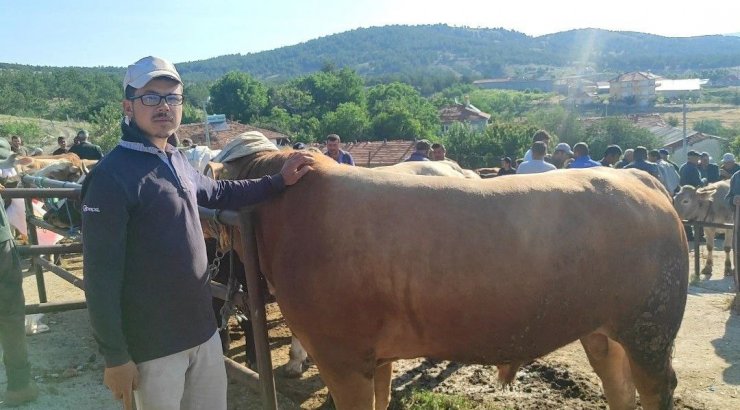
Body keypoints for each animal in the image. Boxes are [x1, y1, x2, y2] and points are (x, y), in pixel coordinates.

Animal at [224, 151, 688, 410]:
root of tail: (638, 177)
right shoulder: (375, 357)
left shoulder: (341, 356)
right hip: (602, 333)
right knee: (620, 389)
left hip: (650, 332)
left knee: (655, 389)